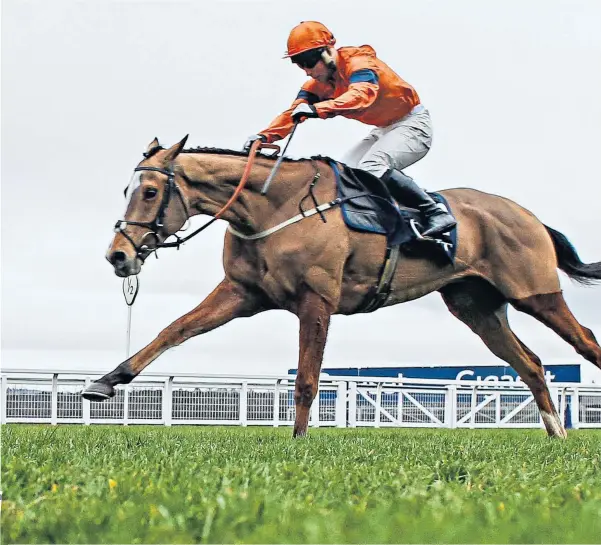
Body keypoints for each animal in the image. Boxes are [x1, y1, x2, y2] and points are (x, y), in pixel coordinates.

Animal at [82, 136, 600, 438]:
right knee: (531, 364)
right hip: (477, 308)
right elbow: (174, 329)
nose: (118, 255)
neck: (273, 207)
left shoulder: (317, 300)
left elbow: (307, 378)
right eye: (127, 191)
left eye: (150, 192)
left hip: (536, 294)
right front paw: (106, 382)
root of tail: (528, 215)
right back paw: (556, 435)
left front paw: (298, 443)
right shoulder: (241, 293)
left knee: (585, 341)